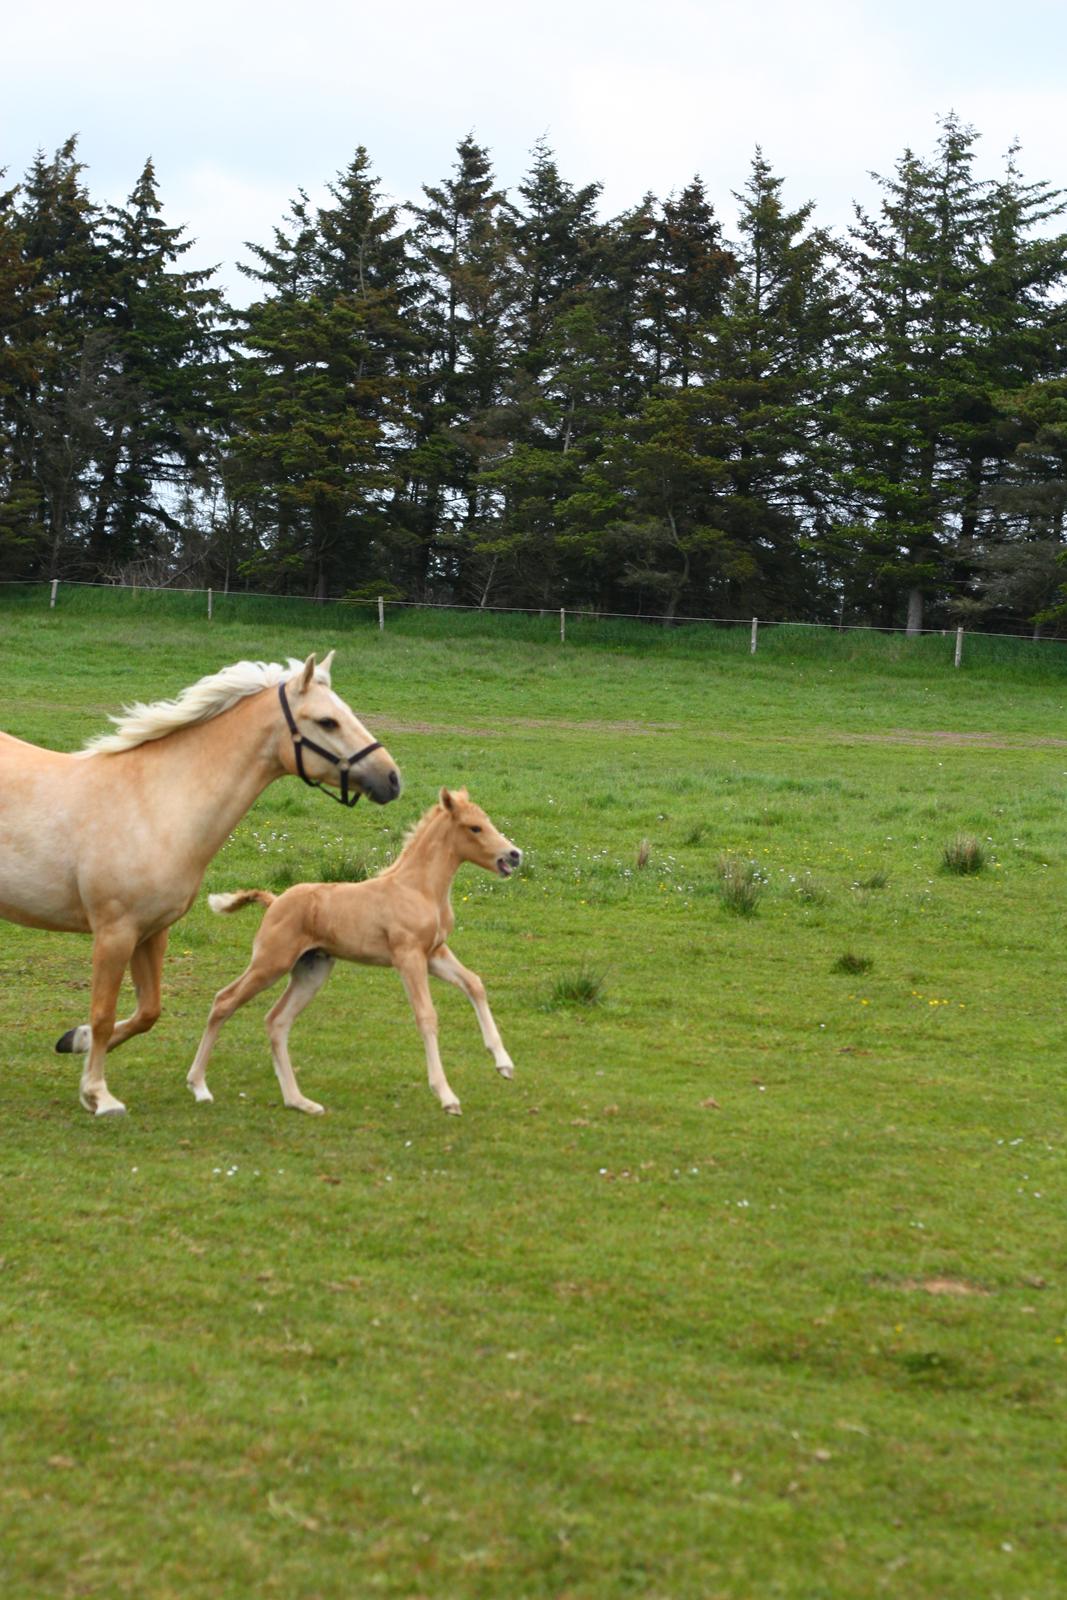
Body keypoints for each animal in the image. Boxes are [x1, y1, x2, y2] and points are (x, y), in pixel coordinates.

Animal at [0, 649, 399, 1113]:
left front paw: (75, 1043)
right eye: (327, 722)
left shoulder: (151, 932)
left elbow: (147, 1012)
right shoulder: (115, 932)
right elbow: (103, 1013)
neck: (158, 803)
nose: (392, 778)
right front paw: (99, 1094)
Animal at [187, 784, 521, 1113]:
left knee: (277, 1021)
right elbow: (426, 1015)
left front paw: (504, 1064)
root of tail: (274, 900)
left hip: (312, 969)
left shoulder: (434, 953)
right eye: (475, 827)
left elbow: (474, 983)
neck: (419, 889)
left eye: (487, 820)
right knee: (224, 1001)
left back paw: (299, 1101)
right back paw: (199, 1086)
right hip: (270, 963)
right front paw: (446, 1096)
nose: (514, 855)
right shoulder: (408, 956)